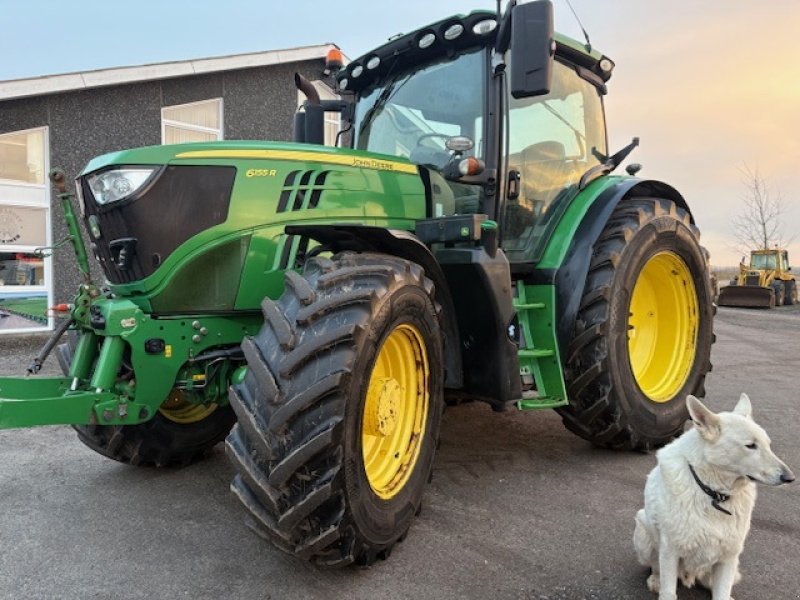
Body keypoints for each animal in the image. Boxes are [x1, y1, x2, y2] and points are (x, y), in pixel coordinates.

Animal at [632, 394, 792, 600]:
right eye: (750, 446)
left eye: (768, 445)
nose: (790, 477)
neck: (715, 494)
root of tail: (690, 574)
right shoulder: (669, 551)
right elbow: (668, 591)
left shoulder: (728, 557)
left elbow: (721, 593)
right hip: (643, 530)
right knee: (656, 567)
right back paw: (656, 580)